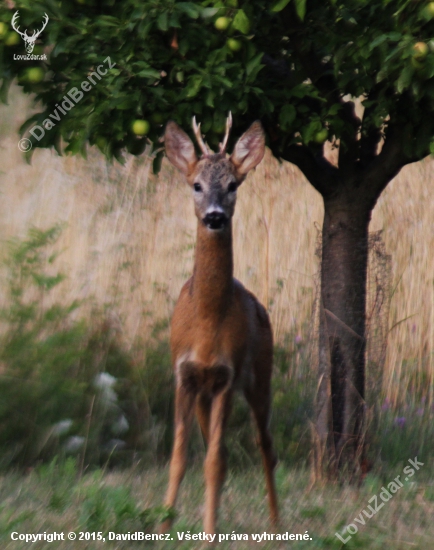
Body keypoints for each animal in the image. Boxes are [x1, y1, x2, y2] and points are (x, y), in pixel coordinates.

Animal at [162, 113, 278, 540]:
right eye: (196, 185)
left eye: (233, 185)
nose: (214, 216)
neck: (206, 324)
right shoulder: (184, 374)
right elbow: (179, 458)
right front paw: (161, 527)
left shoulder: (228, 375)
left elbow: (216, 463)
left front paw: (209, 537)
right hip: (205, 395)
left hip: (260, 374)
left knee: (265, 447)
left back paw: (277, 526)